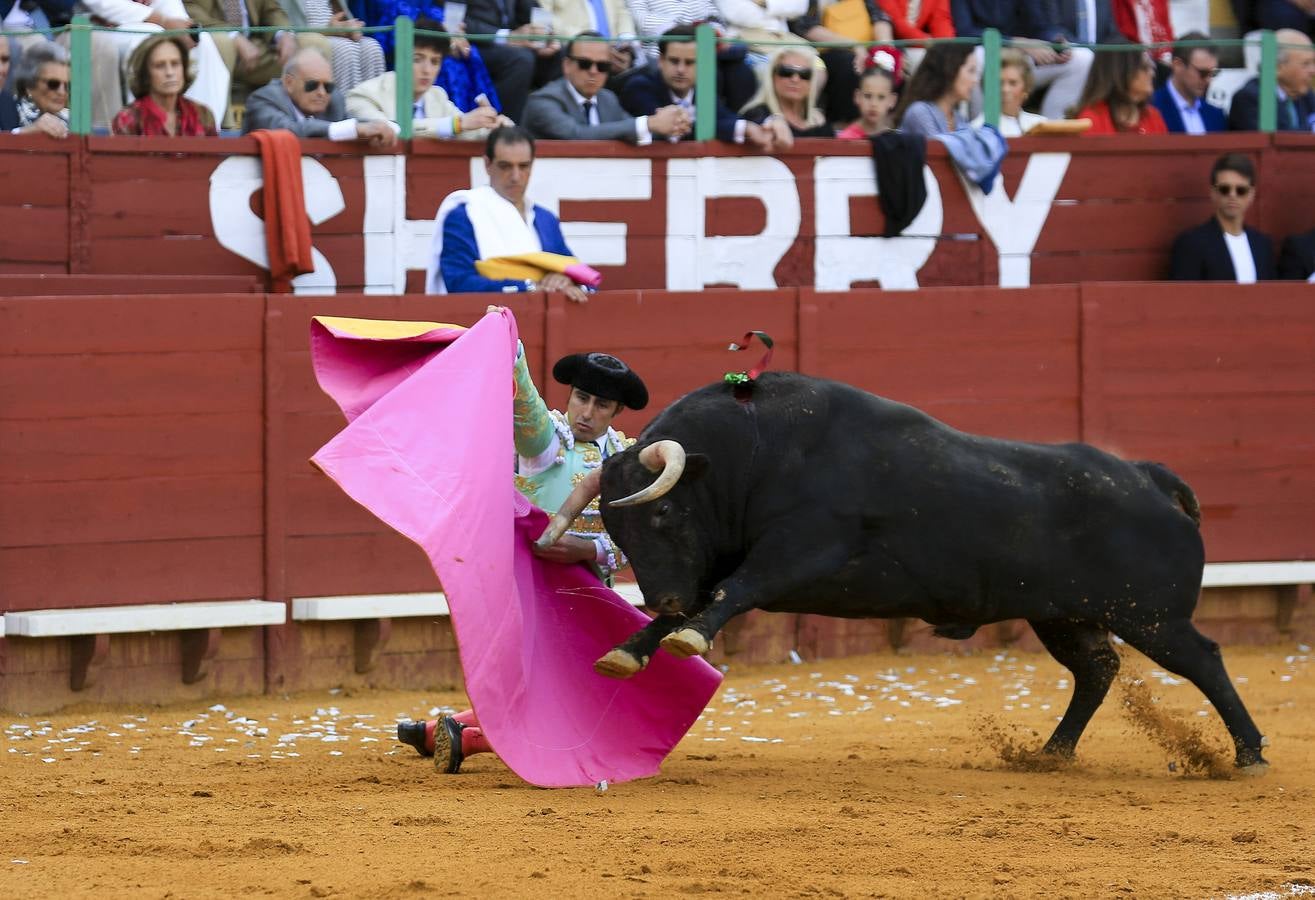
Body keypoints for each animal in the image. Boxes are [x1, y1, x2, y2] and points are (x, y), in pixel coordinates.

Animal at [539, 373, 1267, 773]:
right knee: (1097, 669)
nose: (659, 593)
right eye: (620, 534)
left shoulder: (800, 549)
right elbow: (692, 606)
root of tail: (1147, 477)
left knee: (1202, 660)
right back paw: (1051, 753)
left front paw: (684, 637)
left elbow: (727, 593)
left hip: (1150, 616)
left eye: (664, 516)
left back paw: (1248, 755)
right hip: (1063, 614)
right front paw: (628, 651)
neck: (752, 452)